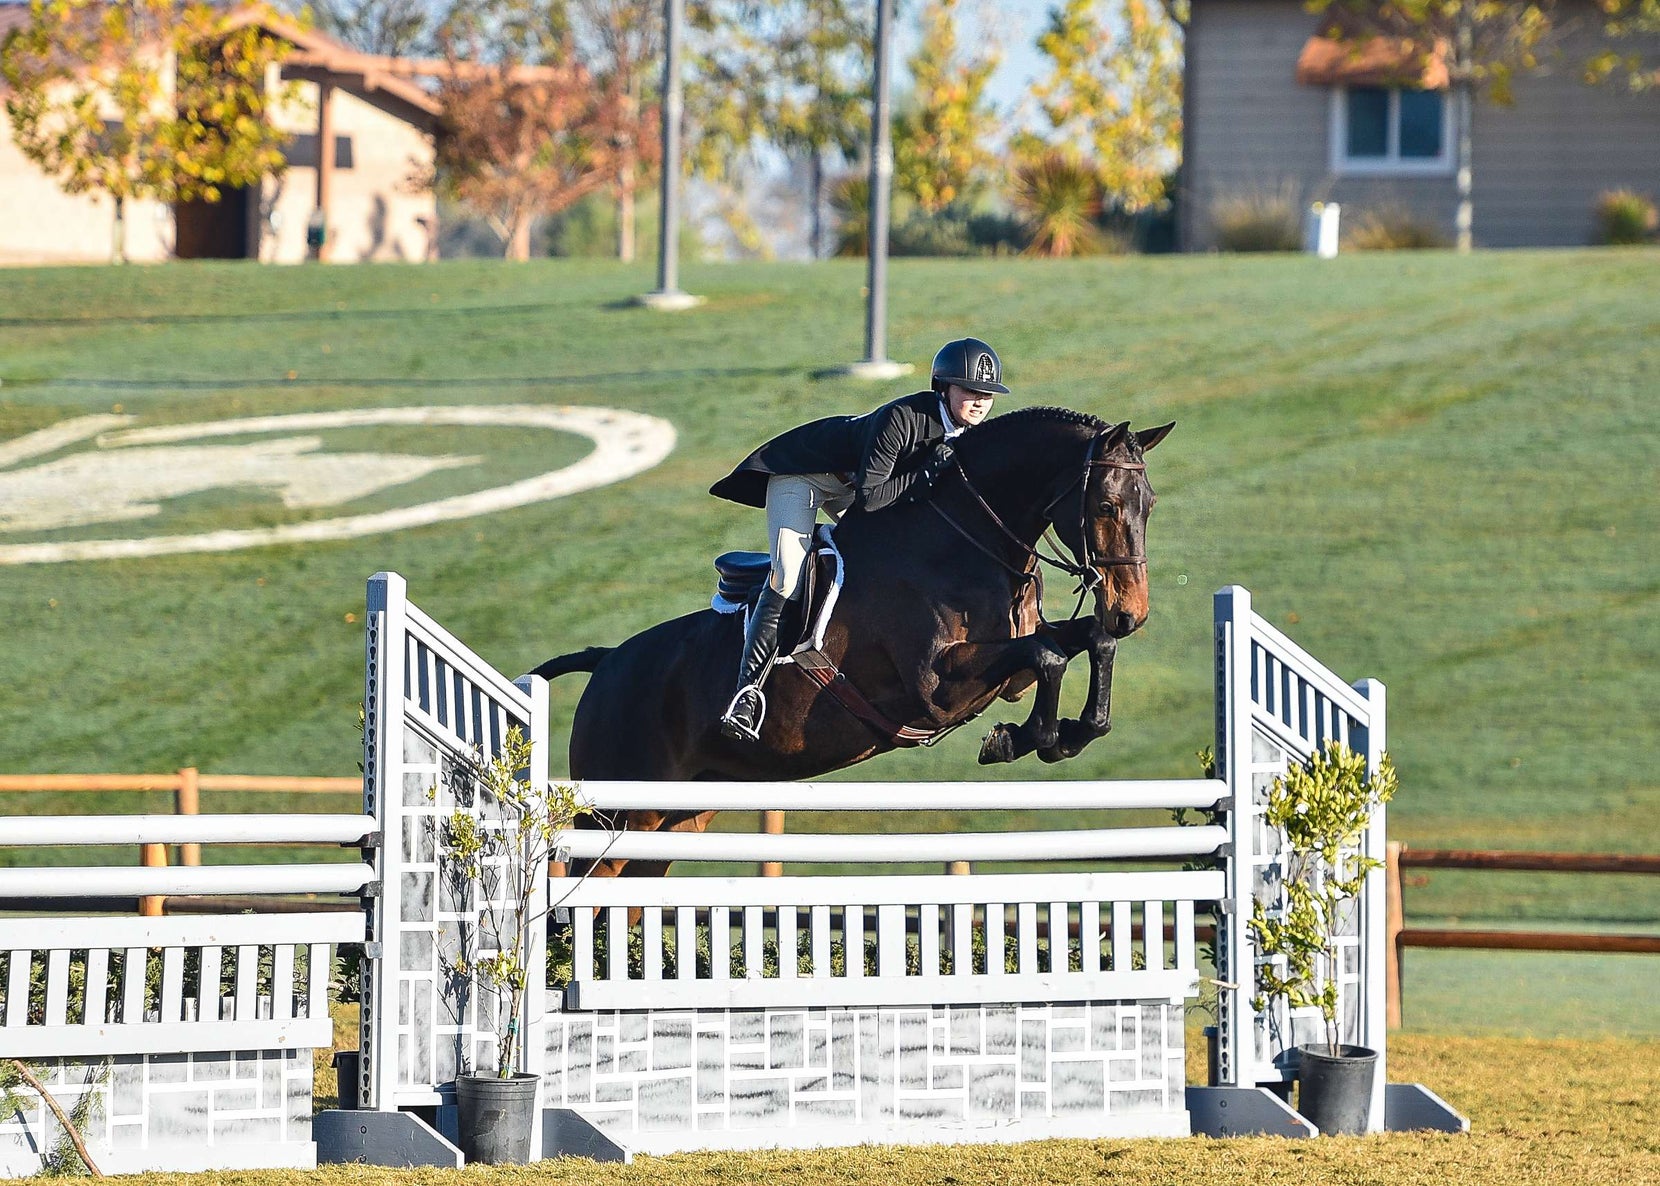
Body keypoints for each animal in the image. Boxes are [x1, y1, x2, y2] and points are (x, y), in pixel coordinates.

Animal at [532, 406, 1173, 877]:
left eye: (1151, 506)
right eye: (1107, 504)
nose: (1131, 613)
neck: (964, 539)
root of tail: (606, 663)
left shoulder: (1008, 672)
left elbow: (1081, 644)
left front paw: (1066, 733)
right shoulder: (936, 687)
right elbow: (1049, 654)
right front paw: (1023, 739)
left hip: (668, 825)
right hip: (616, 816)